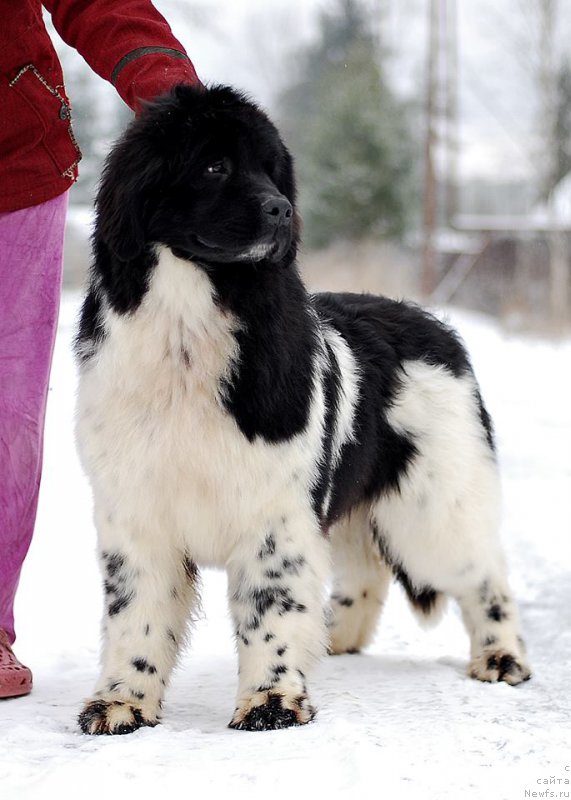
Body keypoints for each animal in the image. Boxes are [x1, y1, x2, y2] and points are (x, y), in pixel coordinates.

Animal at [75, 84, 532, 736]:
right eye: (214, 166)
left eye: (271, 171)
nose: (281, 210)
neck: (189, 329)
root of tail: (433, 325)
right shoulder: (136, 512)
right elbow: (135, 615)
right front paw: (120, 702)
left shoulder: (277, 513)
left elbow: (270, 607)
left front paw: (271, 701)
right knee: (365, 570)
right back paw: (335, 636)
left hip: (433, 505)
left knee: (484, 573)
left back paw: (501, 658)